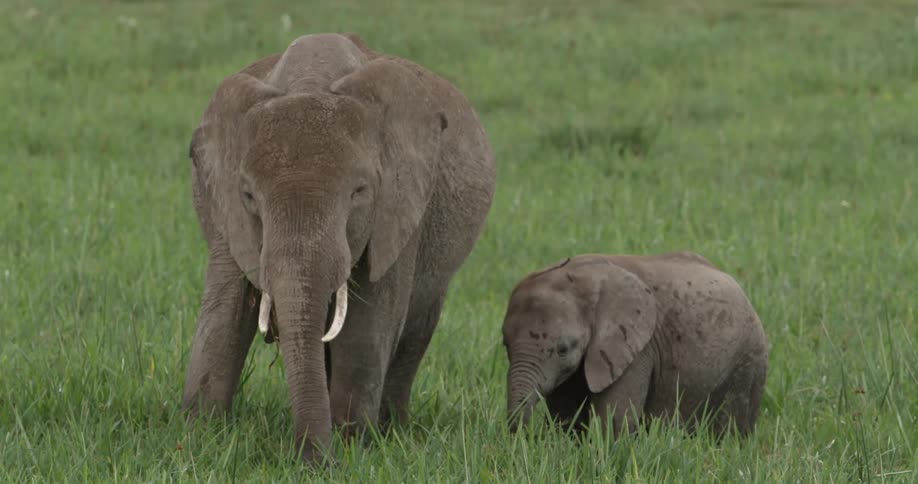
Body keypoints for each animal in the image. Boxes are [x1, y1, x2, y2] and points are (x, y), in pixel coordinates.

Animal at [181, 32, 495, 463]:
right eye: (249, 196)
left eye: (359, 192)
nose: (313, 464)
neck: (310, 81)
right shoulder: (224, 208)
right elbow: (223, 311)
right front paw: (198, 435)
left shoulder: (398, 206)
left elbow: (370, 319)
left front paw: (351, 447)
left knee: (416, 328)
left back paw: (394, 429)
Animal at [502, 252, 768, 438]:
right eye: (505, 345)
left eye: (563, 349)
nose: (525, 436)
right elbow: (566, 412)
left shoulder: (638, 349)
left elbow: (614, 419)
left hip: (748, 361)